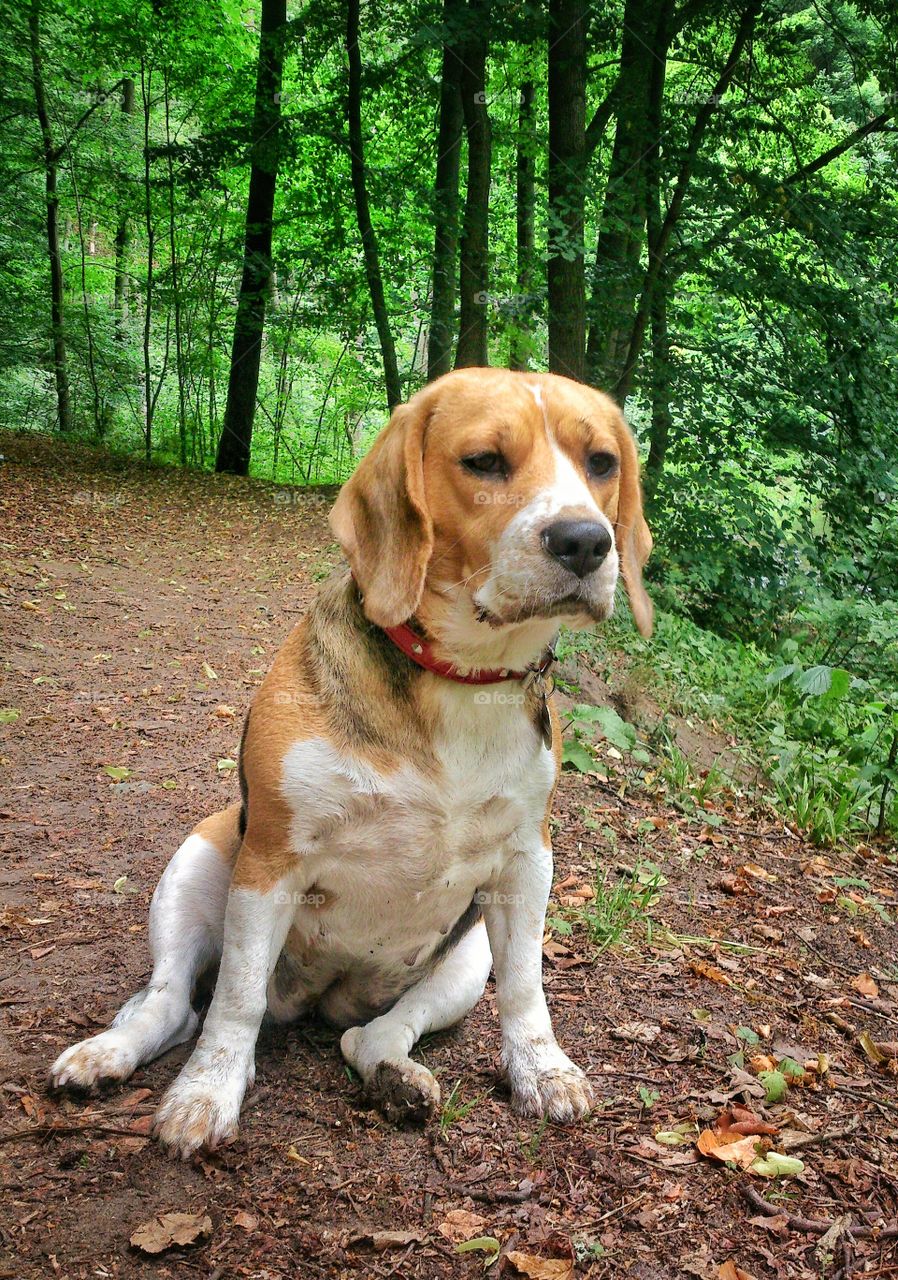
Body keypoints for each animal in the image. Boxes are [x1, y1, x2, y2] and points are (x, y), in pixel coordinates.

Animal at [51, 366, 654, 1157]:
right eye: (485, 461)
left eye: (602, 463)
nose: (585, 541)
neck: (460, 680)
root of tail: (321, 997)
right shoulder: (270, 864)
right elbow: (235, 1002)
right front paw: (205, 1096)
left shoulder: (526, 863)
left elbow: (526, 990)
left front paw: (542, 1070)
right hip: (198, 864)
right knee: (174, 1004)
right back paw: (108, 1055)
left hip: (463, 961)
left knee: (372, 1035)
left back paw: (395, 1076)